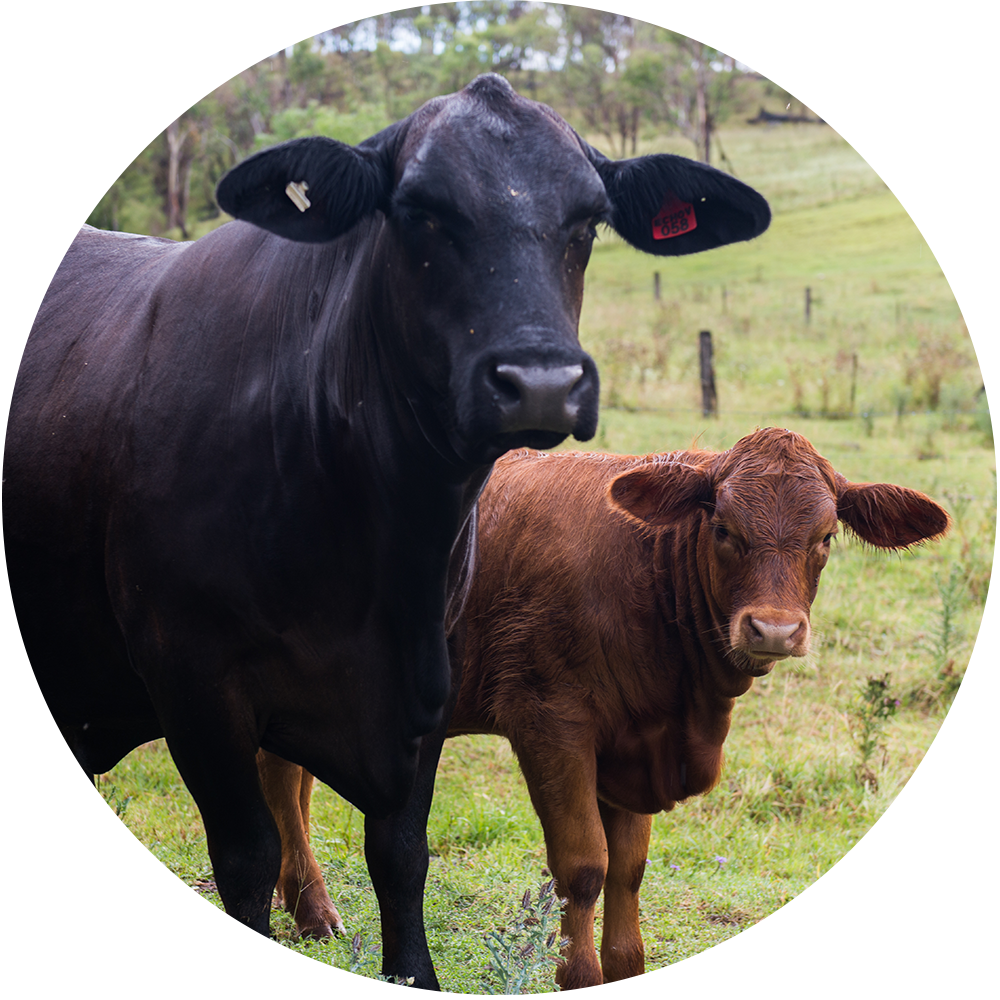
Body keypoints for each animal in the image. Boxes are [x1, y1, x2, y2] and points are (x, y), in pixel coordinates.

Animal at [3, 74, 771, 951]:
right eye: (420, 212)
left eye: (588, 220)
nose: (541, 383)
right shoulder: (193, 683)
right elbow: (245, 858)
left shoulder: (425, 682)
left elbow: (401, 855)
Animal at [261, 427, 949, 988]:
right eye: (725, 530)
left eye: (825, 537)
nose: (775, 631)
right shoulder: (550, 723)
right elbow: (585, 864)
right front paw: (580, 974)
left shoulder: (635, 740)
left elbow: (630, 868)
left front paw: (624, 969)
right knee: (280, 783)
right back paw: (313, 908)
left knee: (291, 779)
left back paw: (302, 905)